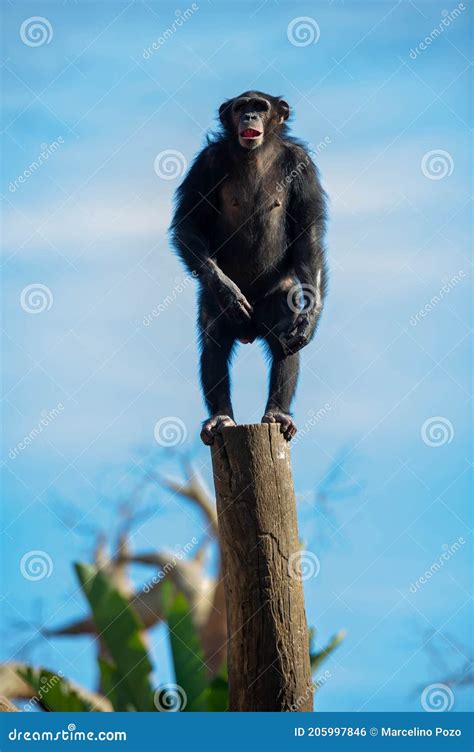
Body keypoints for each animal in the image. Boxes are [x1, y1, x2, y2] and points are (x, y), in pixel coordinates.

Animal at [171, 92, 330, 446]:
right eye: (241, 106)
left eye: (260, 105)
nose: (250, 117)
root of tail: (250, 331)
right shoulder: (206, 163)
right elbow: (188, 222)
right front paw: (228, 290)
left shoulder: (303, 165)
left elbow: (307, 233)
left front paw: (310, 318)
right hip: (214, 309)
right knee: (214, 342)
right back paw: (220, 417)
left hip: (276, 302)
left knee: (285, 339)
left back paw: (278, 413)